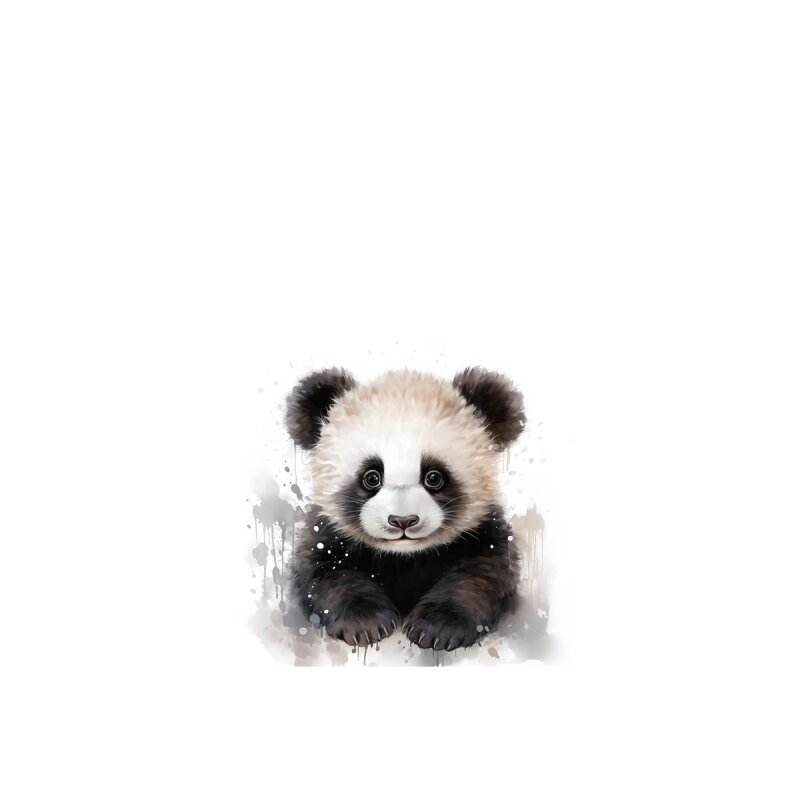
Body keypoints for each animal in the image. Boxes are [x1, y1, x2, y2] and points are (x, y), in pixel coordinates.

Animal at [285, 366, 526, 652]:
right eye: (371, 477)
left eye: (434, 477)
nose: (402, 520)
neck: (404, 556)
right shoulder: (326, 530)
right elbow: (324, 572)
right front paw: (365, 622)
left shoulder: (483, 530)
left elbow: (482, 574)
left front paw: (438, 627)